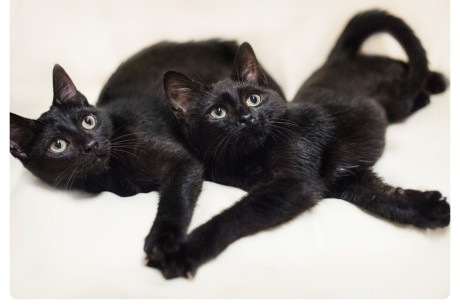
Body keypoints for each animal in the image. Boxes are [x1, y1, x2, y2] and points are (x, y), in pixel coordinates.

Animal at [9, 38, 284, 262]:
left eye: (88, 121)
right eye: (58, 145)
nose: (91, 145)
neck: (112, 172)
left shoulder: (181, 161)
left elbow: (175, 198)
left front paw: (163, 240)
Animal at [160, 10, 448, 280]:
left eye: (254, 99)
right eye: (217, 112)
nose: (246, 118)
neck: (249, 157)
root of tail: (336, 59)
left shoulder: (294, 184)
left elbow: (235, 215)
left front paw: (183, 252)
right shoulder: (346, 179)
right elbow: (382, 197)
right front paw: (431, 209)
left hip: (397, 96)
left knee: (404, 68)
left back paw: (437, 81)